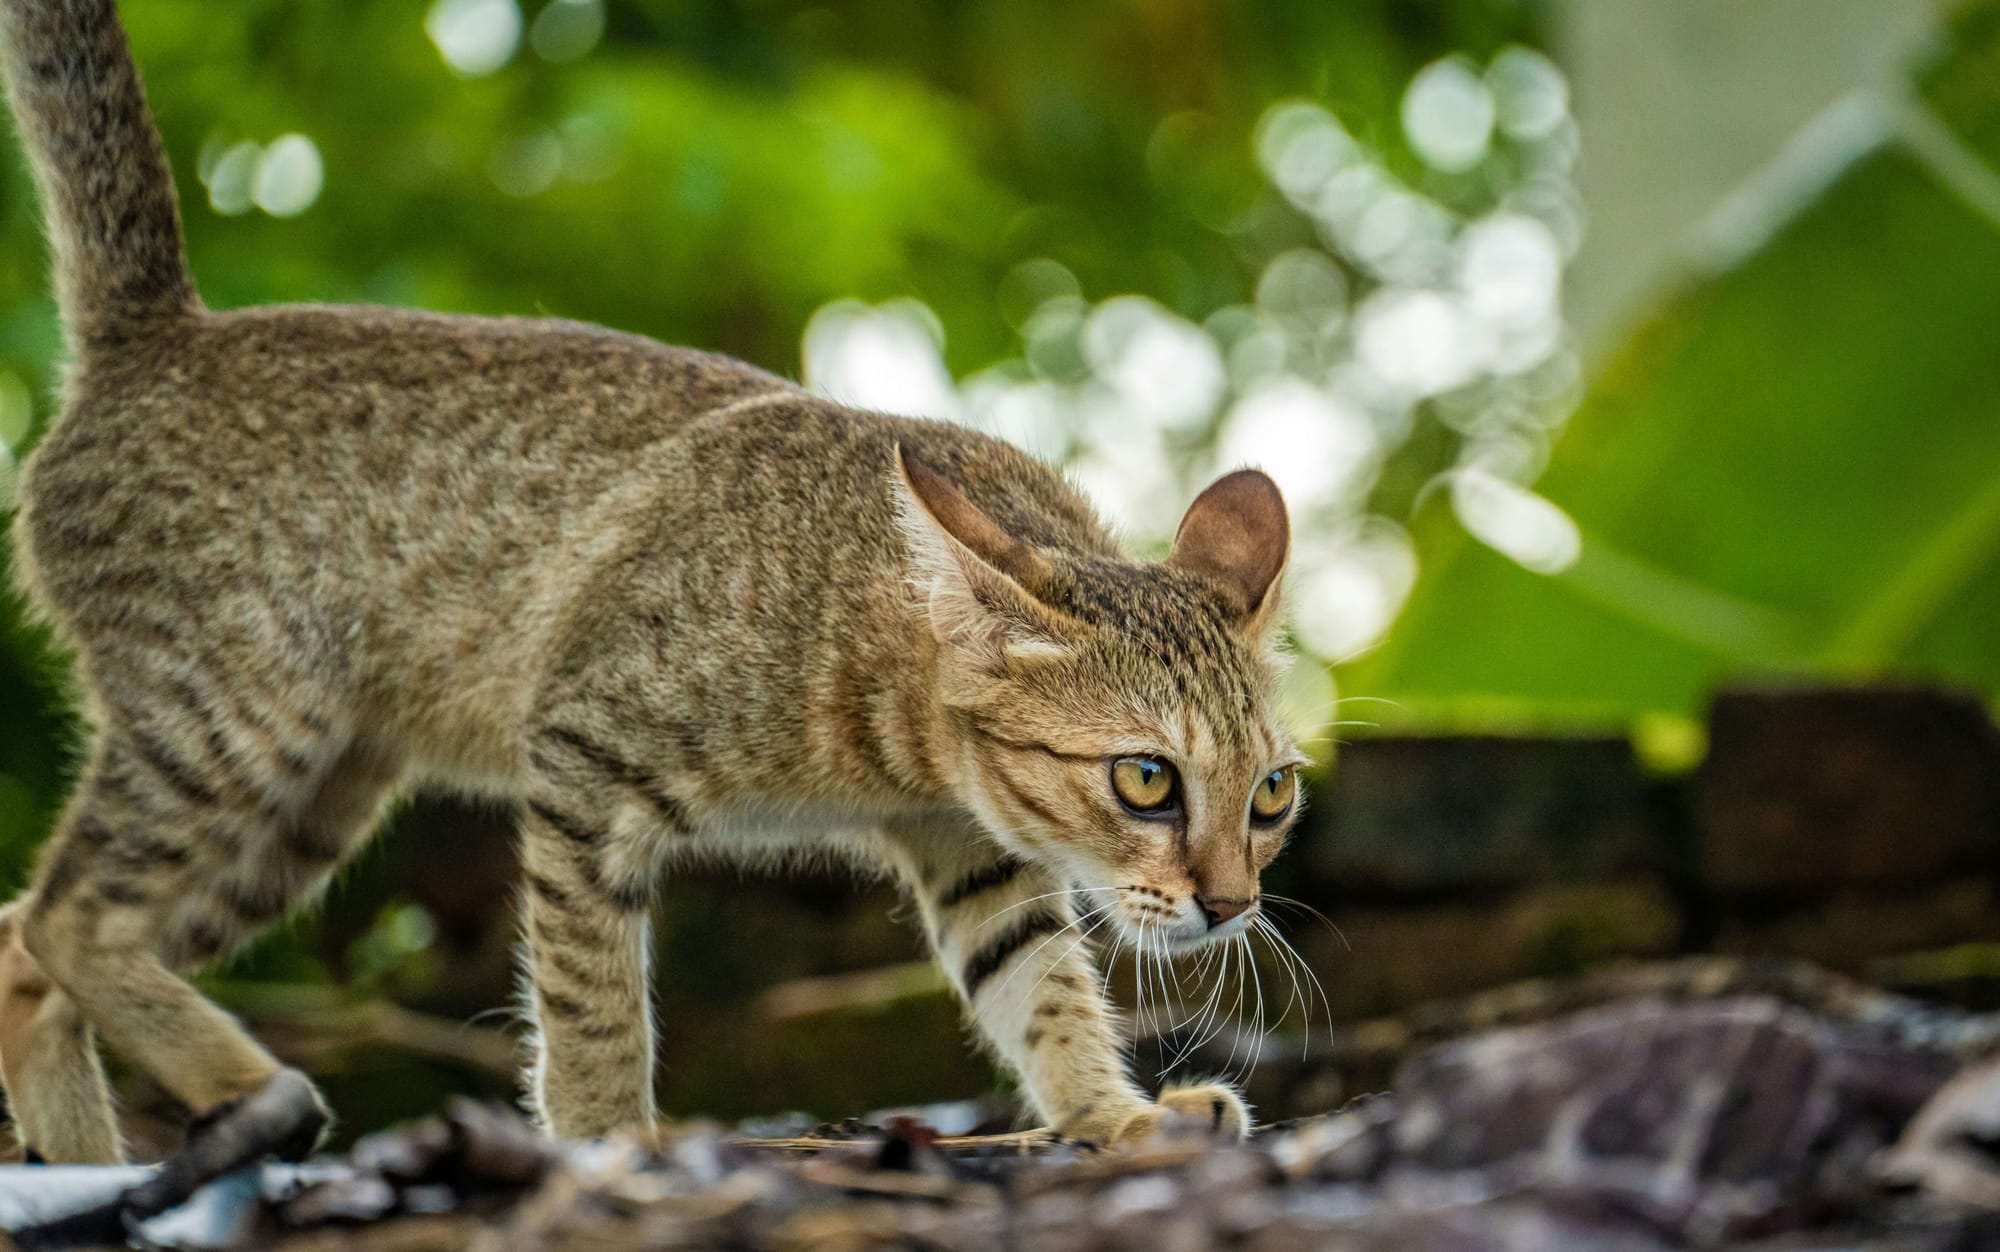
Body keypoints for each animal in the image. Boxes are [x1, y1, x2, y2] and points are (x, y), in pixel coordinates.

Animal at [0, 0, 1304, 1208]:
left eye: (1271, 794)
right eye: (1145, 778)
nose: (1229, 905)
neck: (890, 721)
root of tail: (155, 336)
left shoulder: (970, 853)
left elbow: (1042, 990)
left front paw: (1113, 1115)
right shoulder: (581, 752)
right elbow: (589, 998)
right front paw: (602, 1138)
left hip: (304, 806)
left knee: (25, 941)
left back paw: (95, 1165)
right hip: (236, 732)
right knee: (67, 918)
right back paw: (237, 1096)